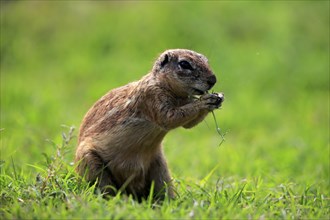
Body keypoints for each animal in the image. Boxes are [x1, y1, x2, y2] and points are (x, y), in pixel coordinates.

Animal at [75, 49, 224, 202]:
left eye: (206, 59)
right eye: (184, 64)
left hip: (160, 169)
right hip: (91, 163)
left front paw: (217, 99)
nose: (213, 80)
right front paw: (205, 101)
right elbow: (170, 118)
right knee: (105, 189)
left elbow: (188, 124)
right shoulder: (151, 97)